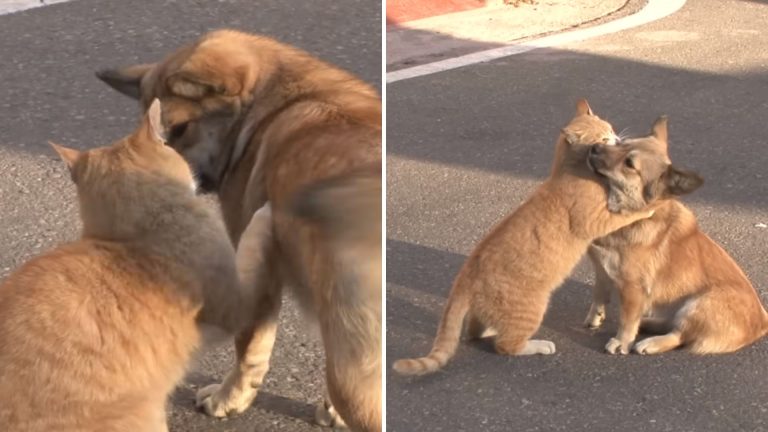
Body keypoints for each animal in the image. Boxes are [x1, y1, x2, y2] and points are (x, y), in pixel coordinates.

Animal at [584, 117, 764, 354]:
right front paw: (594, 317)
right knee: (670, 323)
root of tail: (762, 323)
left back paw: (650, 343)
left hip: (698, 304)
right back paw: (648, 323)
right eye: (621, 143)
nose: (595, 147)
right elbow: (599, 296)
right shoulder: (602, 270)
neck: (631, 217)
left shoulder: (633, 289)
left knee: (680, 335)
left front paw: (621, 342)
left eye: (630, 164)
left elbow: (627, 320)